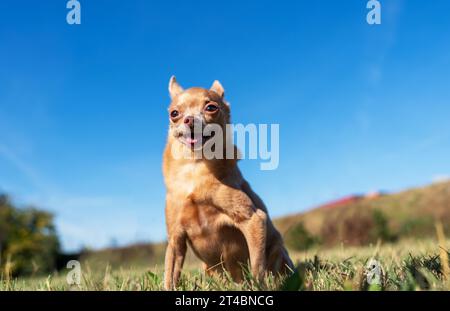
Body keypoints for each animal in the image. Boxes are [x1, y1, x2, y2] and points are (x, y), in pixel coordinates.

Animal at [163, 77, 294, 292]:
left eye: (211, 107)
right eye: (174, 113)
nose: (189, 119)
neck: (195, 168)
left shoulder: (253, 220)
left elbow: (257, 266)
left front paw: (257, 287)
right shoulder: (175, 238)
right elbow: (170, 275)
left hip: (277, 251)